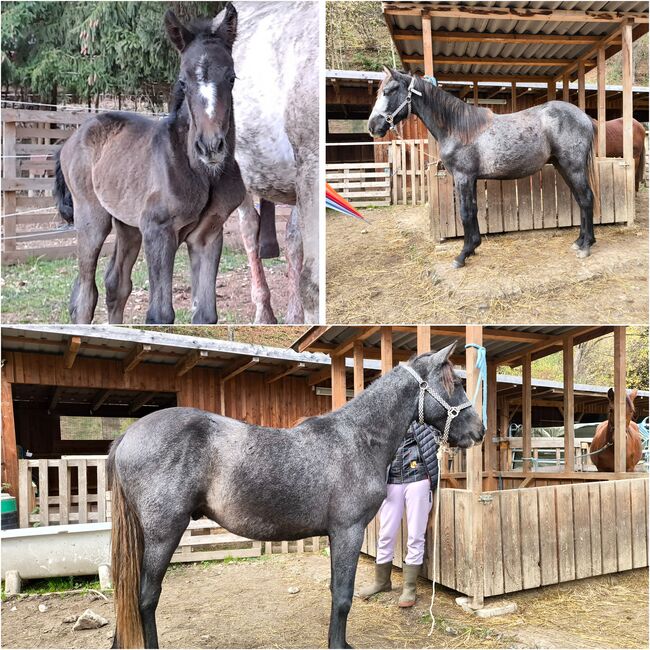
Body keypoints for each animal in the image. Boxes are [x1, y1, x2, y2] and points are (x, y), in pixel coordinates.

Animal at [53, 2, 244, 322]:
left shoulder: (208, 235)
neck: (200, 173)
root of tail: (74, 136)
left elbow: (205, 315)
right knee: (84, 294)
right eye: (183, 81)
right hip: (91, 218)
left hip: (126, 223)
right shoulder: (158, 231)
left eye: (231, 78)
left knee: (115, 285)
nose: (210, 146)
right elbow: (160, 315)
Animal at [107, 342, 480, 644]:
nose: (479, 430)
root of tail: (128, 436)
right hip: (163, 533)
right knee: (146, 597)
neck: (358, 438)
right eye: (459, 383)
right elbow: (342, 596)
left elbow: (335, 591)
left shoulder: (337, 534)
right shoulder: (348, 531)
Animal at [368, 71, 596, 270]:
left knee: (586, 199)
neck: (457, 127)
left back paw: (586, 246)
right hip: (562, 166)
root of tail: (585, 117)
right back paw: (580, 241)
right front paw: (473, 247)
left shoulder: (463, 177)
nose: (372, 127)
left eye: (389, 90)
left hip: (573, 167)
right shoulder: (472, 179)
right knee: (580, 200)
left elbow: (465, 212)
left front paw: (462, 255)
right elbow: (474, 210)